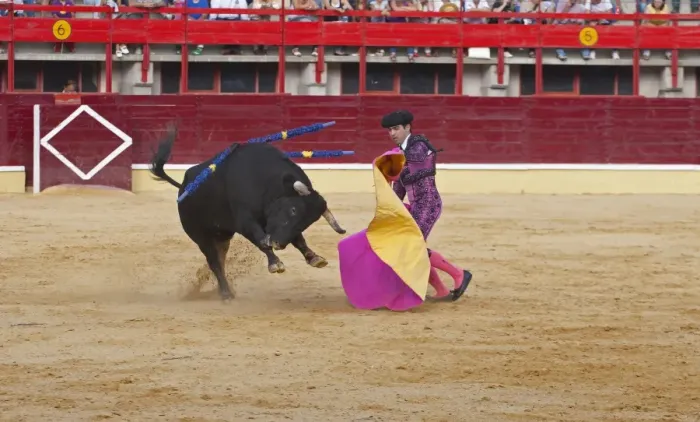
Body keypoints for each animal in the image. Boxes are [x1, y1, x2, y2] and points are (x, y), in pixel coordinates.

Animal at [149, 126, 347, 301]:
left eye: (308, 221)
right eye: (293, 209)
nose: (279, 244)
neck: (266, 183)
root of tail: (183, 187)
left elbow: (299, 240)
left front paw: (314, 258)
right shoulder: (245, 222)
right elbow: (262, 241)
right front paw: (275, 264)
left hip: (222, 236)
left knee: (220, 259)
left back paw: (224, 291)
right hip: (200, 236)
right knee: (214, 262)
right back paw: (226, 295)